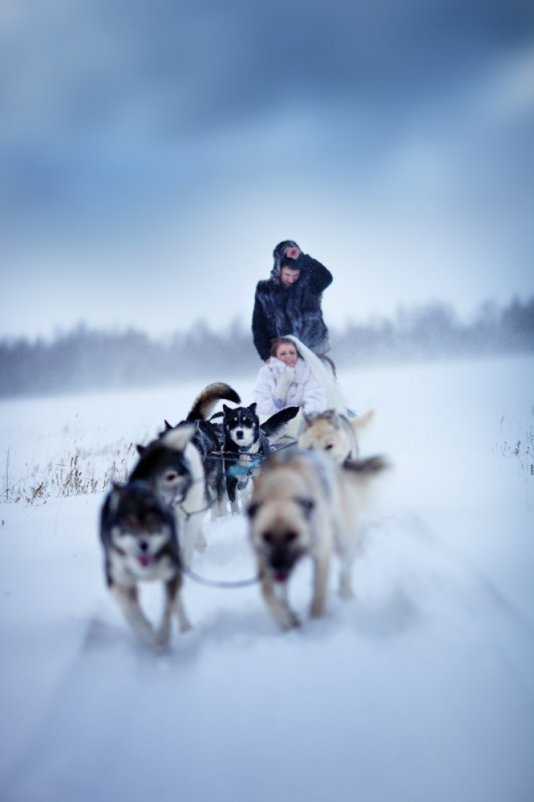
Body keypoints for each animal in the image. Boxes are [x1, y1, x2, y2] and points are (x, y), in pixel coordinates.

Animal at [247, 446, 390, 628]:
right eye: (266, 536)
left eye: (292, 535)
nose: (278, 566)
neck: (280, 492)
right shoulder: (263, 558)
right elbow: (266, 592)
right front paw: (285, 619)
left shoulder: (322, 553)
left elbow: (319, 594)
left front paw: (316, 623)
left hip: (344, 540)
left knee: (345, 572)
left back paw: (346, 595)